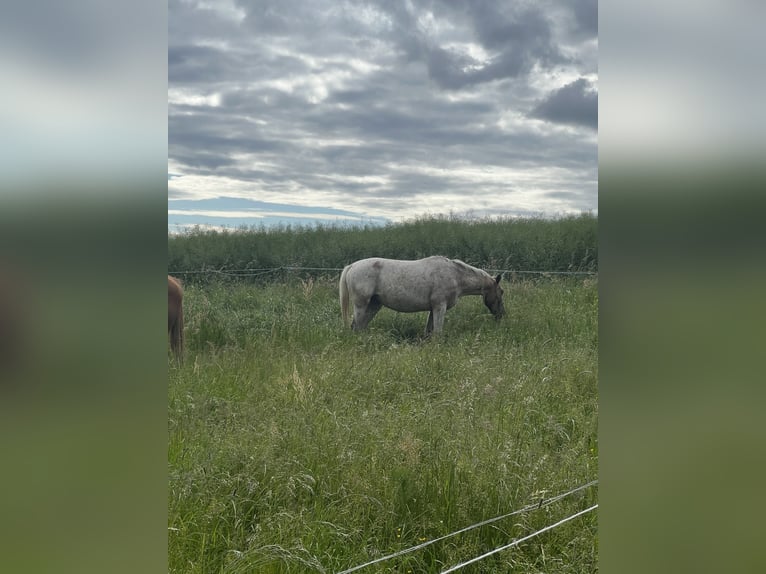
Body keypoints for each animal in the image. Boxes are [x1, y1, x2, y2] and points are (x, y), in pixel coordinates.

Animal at [339, 256, 504, 336]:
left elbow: (429, 331)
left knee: (360, 327)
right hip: (361, 305)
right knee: (356, 326)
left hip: (374, 305)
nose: (501, 314)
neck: (455, 275)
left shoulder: (433, 309)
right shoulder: (440, 307)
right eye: (501, 292)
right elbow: (437, 332)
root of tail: (352, 266)